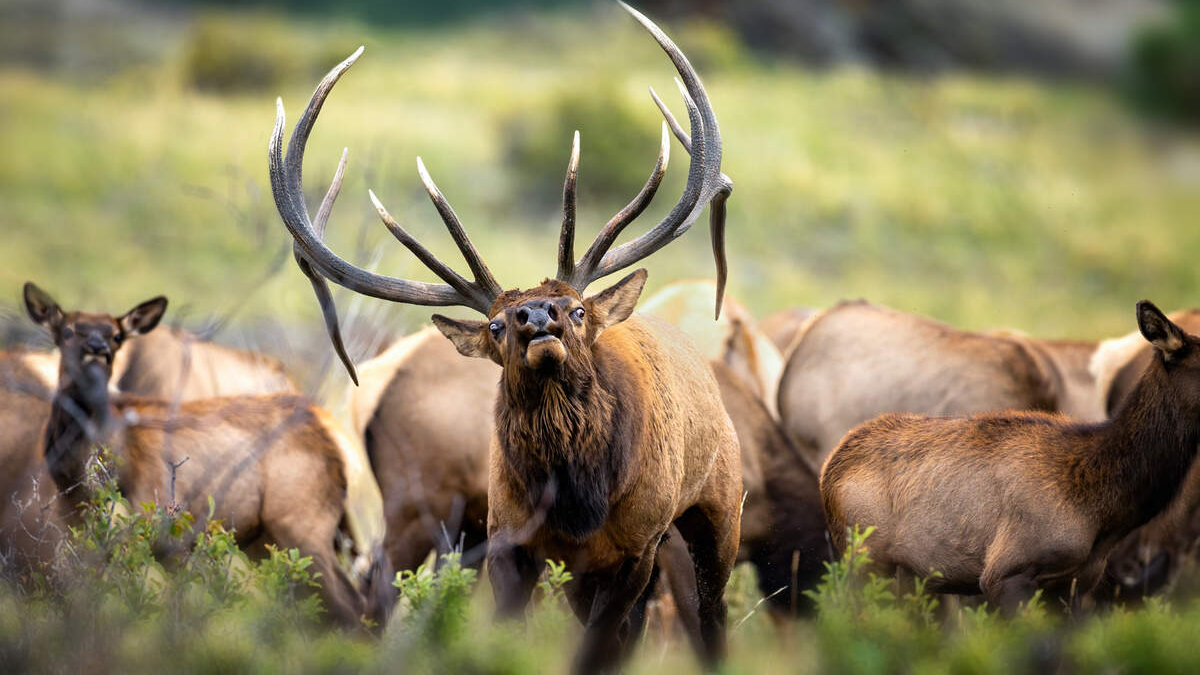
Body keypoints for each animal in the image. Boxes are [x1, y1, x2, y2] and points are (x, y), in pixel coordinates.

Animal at [21, 282, 392, 630]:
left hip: (303, 523)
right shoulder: (77, 528)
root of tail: (336, 436)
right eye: (67, 331)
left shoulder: (163, 522)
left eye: (117, 335)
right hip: (267, 540)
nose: (97, 351)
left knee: (353, 609)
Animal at [269, 4, 741, 669]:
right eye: (494, 324)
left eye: (576, 310)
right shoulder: (508, 539)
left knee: (709, 617)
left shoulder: (637, 546)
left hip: (718, 509)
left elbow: (601, 647)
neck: (577, 499)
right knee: (378, 581)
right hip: (423, 500)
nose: (537, 317)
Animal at [820, 301, 1200, 612]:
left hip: (907, 576)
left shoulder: (1076, 583)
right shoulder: (1006, 571)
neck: (1102, 511)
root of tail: (830, 469)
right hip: (864, 558)